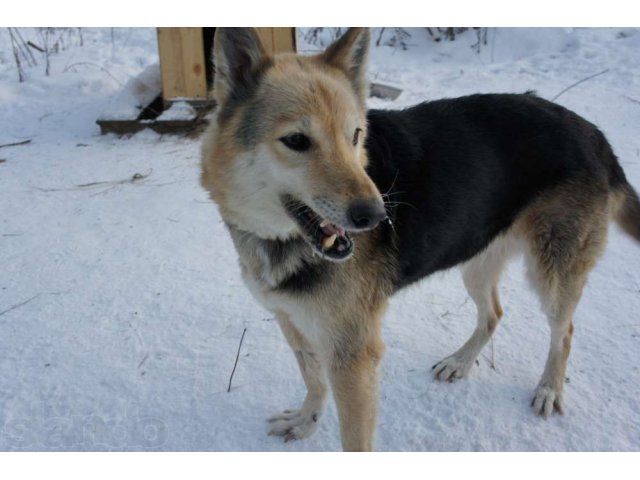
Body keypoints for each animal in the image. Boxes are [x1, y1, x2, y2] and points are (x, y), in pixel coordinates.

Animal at [200, 28, 640, 452]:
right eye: (296, 141)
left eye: (355, 135)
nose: (377, 217)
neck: (278, 239)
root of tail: (596, 136)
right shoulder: (294, 321)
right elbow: (313, 381)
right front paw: (306, 423)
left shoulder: (354, 355)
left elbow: (354, 441)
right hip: (476, 262)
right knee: (494, 313)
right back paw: (460, 362)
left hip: (552, 276)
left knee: (564, 332)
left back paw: (549, 388)